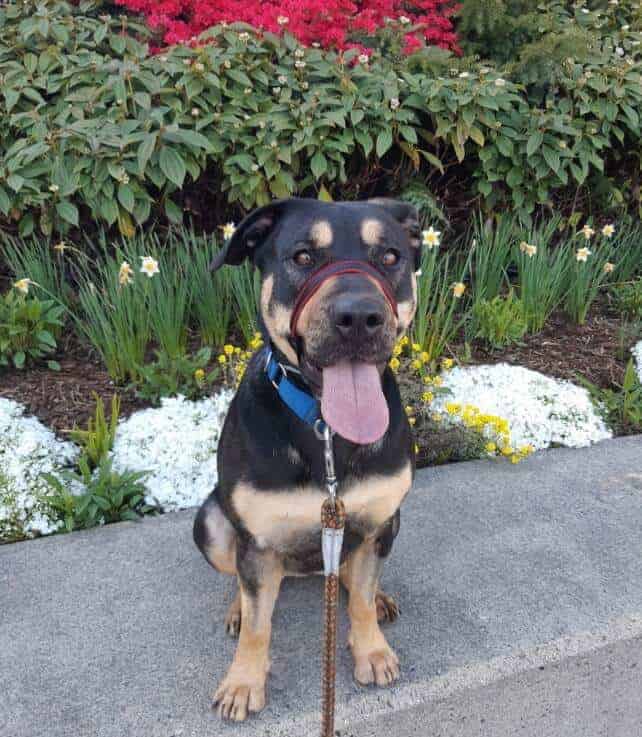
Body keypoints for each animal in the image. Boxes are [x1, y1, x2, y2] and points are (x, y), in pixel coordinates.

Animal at [192, 196, 422, 720]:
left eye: (391, 256)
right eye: (302, 256)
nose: (359, 318)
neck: (325, 429)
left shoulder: (378, 522)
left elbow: (359, 600)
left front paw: (371, 651)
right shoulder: (255, 540)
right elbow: (259, 625)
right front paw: (243, 682)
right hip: (212, 524)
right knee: (241, 581)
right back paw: (238, 608)